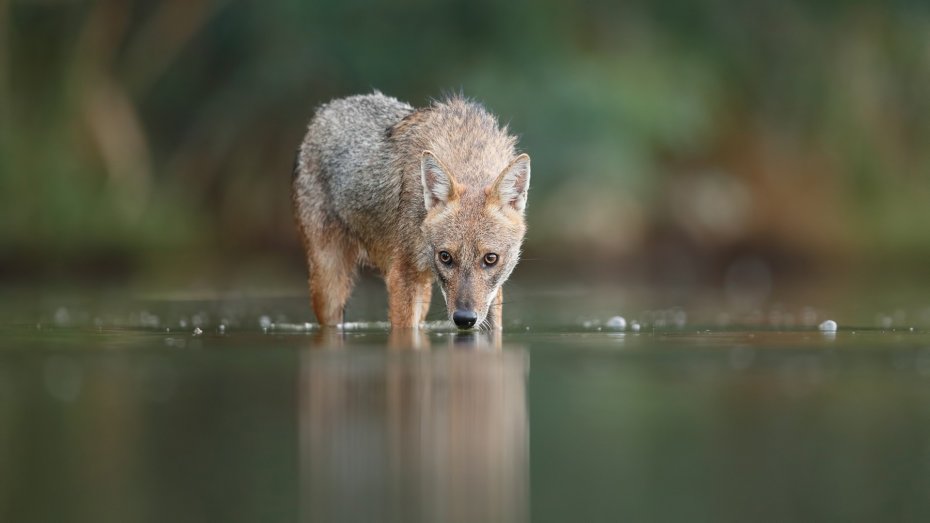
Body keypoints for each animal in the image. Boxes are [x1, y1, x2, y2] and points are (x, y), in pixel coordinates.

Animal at [298, 92, 528, 330]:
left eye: (491, 259)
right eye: (445, 257)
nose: (464, 319)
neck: (468, 153)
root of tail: (329, 108)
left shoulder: (491, 295)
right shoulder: (402, 276)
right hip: (329, 288)